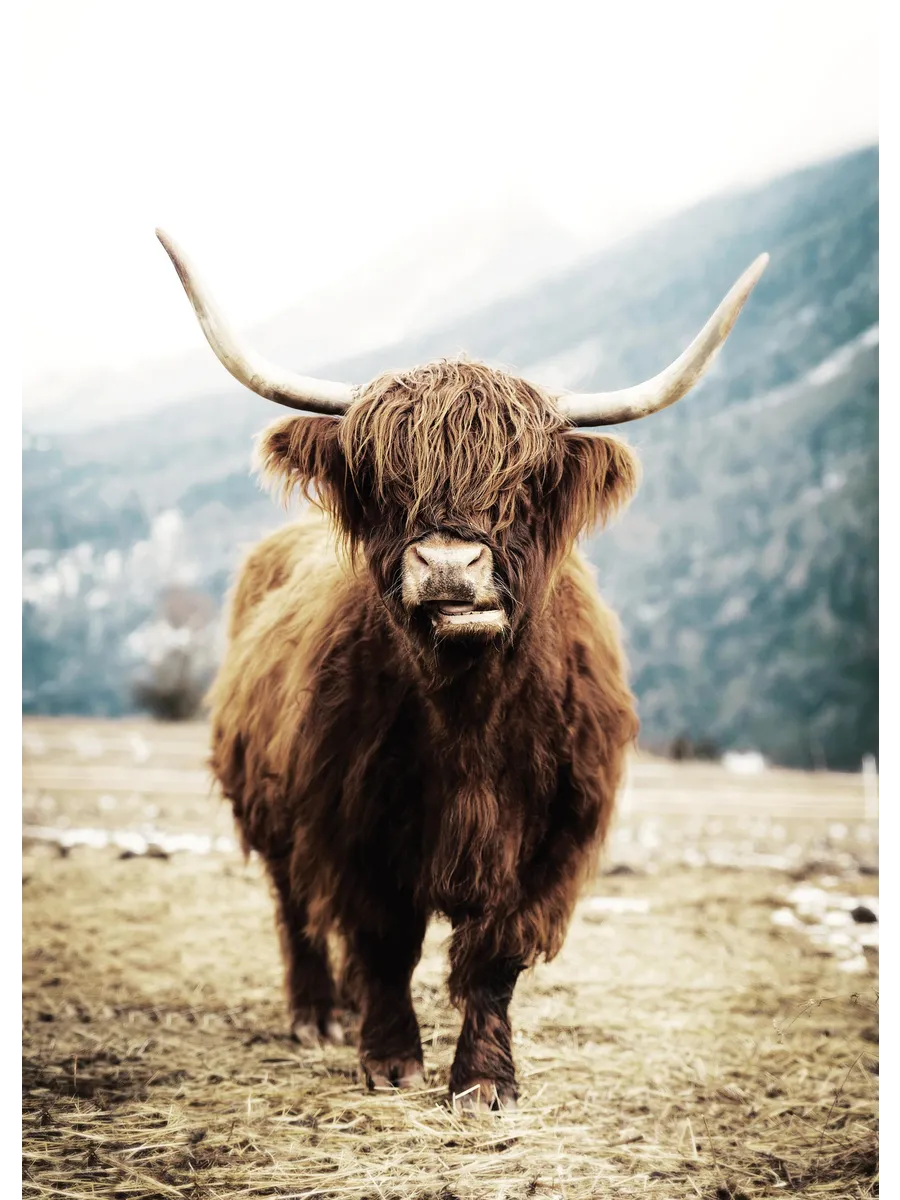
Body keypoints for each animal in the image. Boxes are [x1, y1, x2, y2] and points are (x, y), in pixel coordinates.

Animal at [157, 231, 767, 1111]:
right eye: (385, 483)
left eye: (524, 484)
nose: (449, 565)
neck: (469, 716)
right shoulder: (351, 822)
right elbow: (382, 939)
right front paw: (389, 1061)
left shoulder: (552, 842)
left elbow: (494, 958)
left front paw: (483, 1080)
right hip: (269, 807)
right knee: (296, 907)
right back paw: (318, 1013)